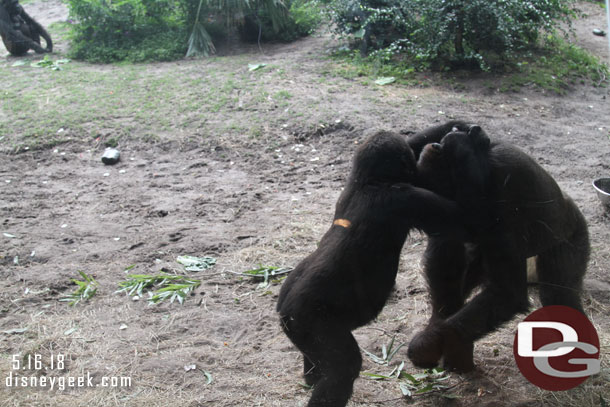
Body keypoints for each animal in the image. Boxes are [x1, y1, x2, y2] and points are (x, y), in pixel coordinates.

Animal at [276, 131, 466, 407]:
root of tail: (282, 310)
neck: (368, 181)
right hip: (308, 321)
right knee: (344, 368)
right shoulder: (405, 198)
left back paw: (310, 377)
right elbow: (458, 217)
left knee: (317, 368)